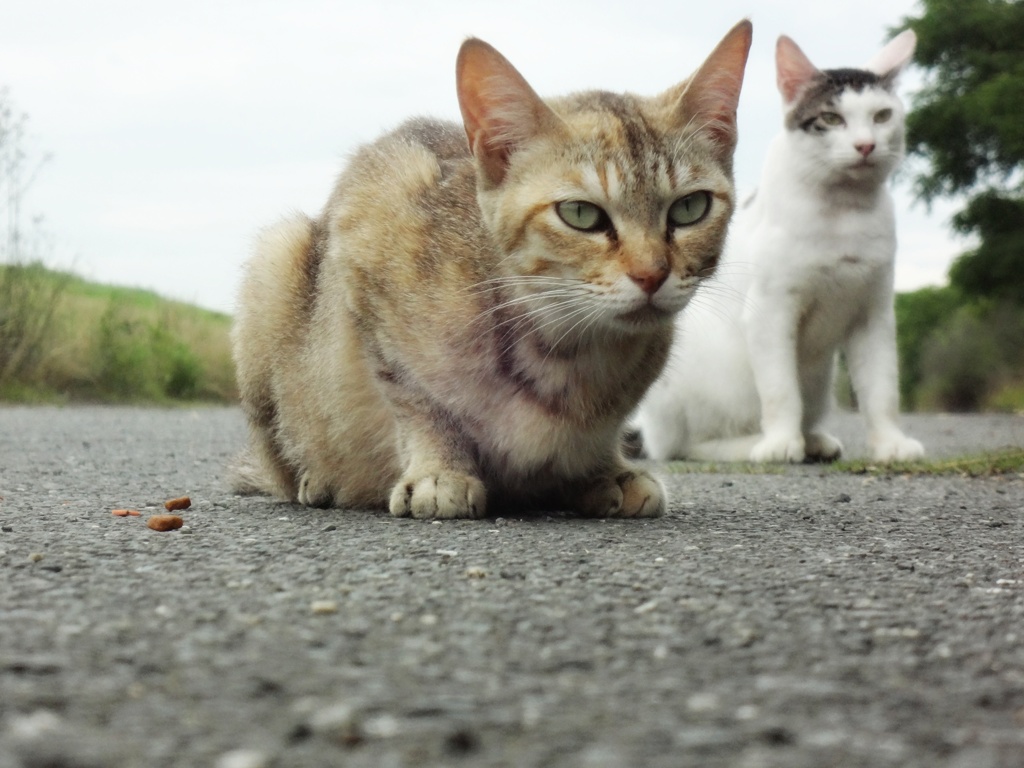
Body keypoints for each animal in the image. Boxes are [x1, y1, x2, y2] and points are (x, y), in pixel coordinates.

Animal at [234, 20, 753, 520]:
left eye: (690, 208)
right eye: (581, 214)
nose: (651, 275)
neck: (566, 350)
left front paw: (605, 469)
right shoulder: (367, 237)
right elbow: (417, 400)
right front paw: (439, 469)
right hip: (276, 262)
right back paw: (315, 478)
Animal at [634, 28, 925, 462]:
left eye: (882, 116)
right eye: (831, 119)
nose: (866, 145)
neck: (846, 212)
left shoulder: (873, 314)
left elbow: (881, 388)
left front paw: (890, 443)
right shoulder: (770, 311)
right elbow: (780, 391)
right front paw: (781, 443)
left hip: (821, 379)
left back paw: (815, 439)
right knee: (683, 446)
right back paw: (755, 445)